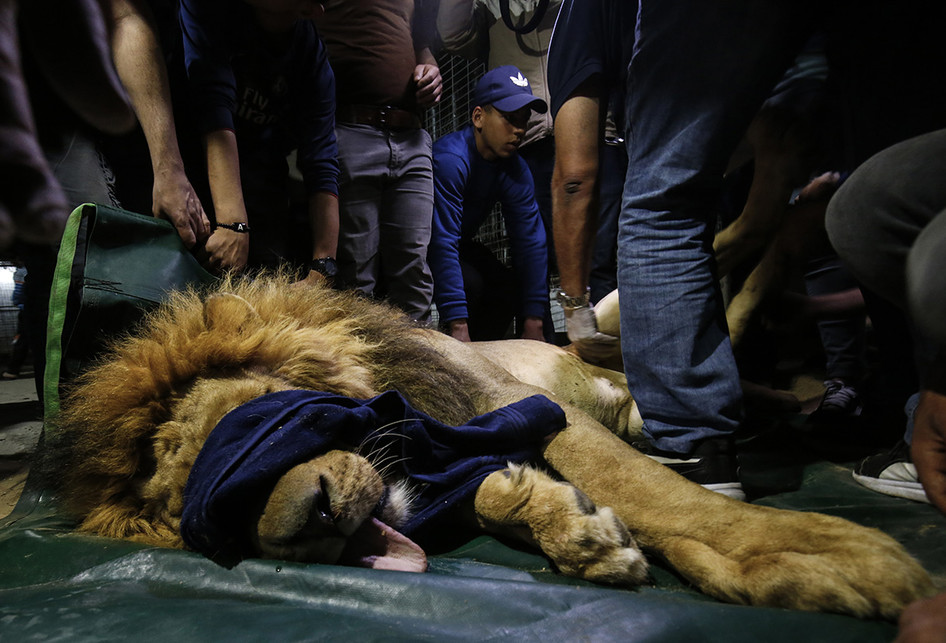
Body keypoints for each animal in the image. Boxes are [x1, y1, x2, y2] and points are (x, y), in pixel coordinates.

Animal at [44, 274, 928, 620]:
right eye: (210, 514)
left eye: (255, 422)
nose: (308, 522)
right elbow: (560, 500)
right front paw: (584, 538)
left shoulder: (513, 401)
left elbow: (657, 491)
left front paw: (828, 553)